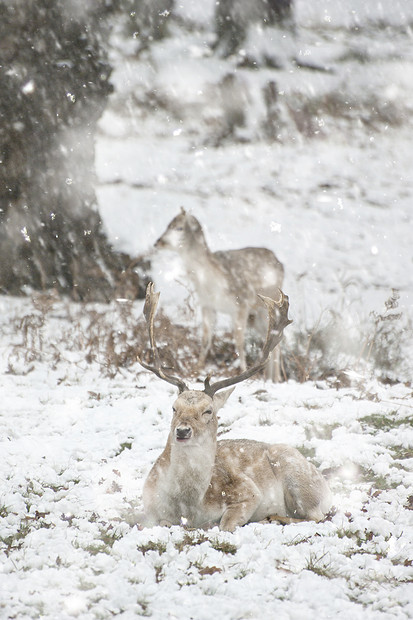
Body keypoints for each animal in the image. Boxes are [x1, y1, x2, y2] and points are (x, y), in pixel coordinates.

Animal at [138, 284, 332, 532]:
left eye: (208, 411)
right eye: (174, 408)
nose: (182, 431)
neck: (187, 507)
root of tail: (326, 487)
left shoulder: (248, 491)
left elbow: (225, 524)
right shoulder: (148, 507)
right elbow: (160, 523)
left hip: (299, 478)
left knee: (317, 516)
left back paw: (274, 517)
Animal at [153, 208, 284, 380]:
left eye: (179, 228)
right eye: (168, 224)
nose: (158, 242)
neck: (213, 284)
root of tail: (281, 265)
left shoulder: (241, 304)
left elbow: (239, 341)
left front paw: (243, 371)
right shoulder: (207, 305)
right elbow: (206, 338)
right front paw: (197, 368)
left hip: (270, 305)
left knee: (278, 337)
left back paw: (277, 378)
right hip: (256, 316)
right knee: (269, 338)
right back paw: (269, 377)